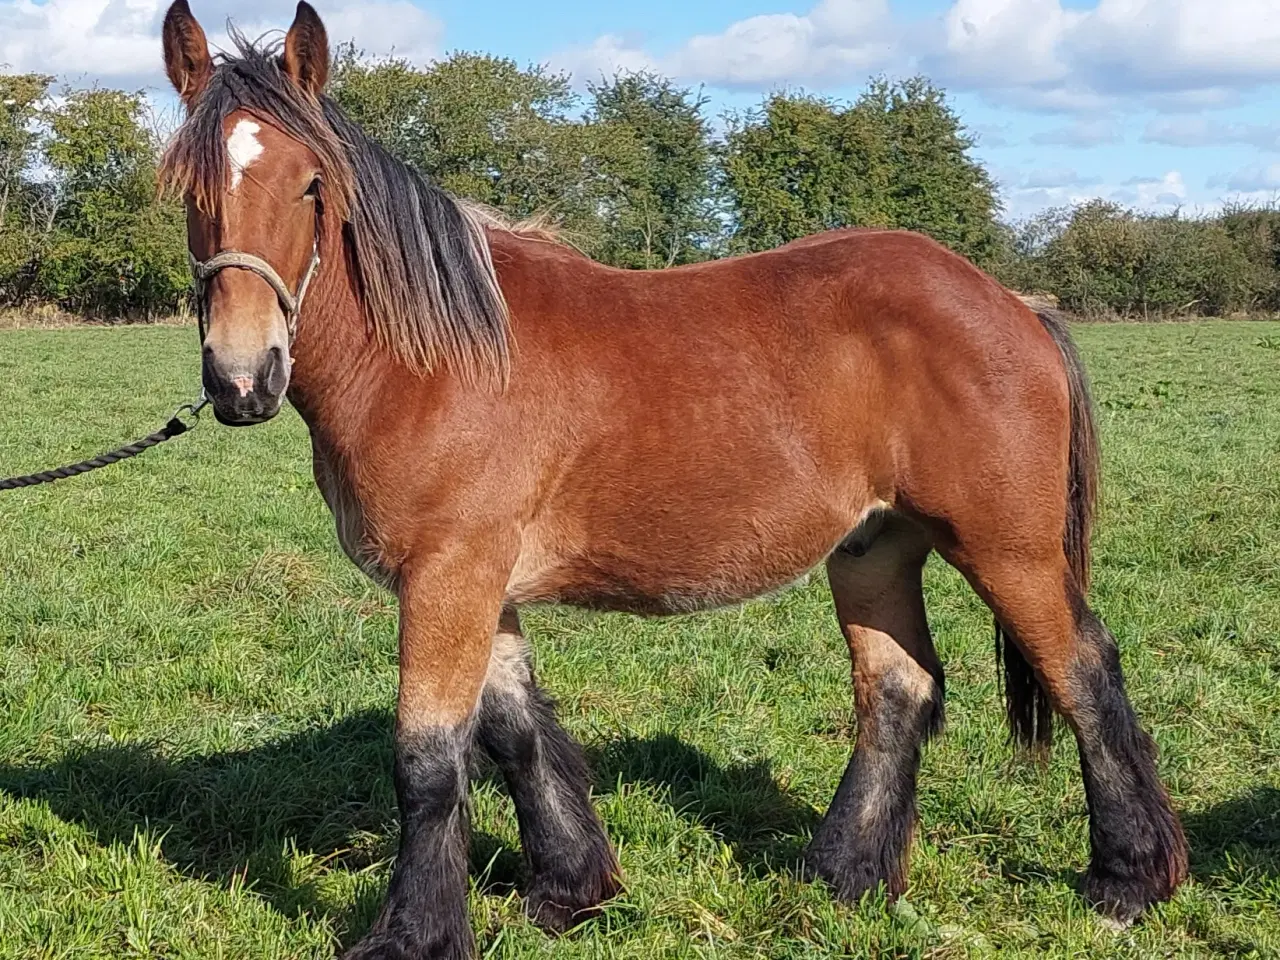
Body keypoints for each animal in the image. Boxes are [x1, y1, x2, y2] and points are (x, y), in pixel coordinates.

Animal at [157, 3, 1187, 957]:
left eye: (312, 183)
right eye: (187, 190)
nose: (242, 379)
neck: (436, 358)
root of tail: (1010, 300)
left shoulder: (448, 578)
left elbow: (428, 761)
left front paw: (413, 934)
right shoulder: (482, 585)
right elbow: (514, 732)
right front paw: (568, 891)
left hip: (1006, 550)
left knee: (1084, 673)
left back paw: (1127, 880)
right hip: (873, 549)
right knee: (898, 690)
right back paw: (843, 876)